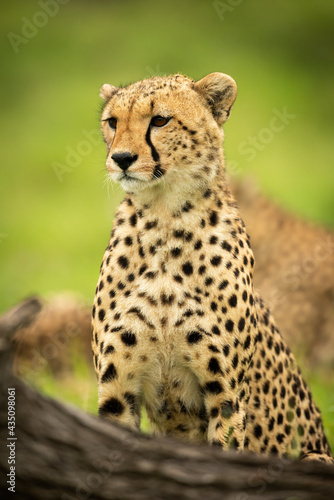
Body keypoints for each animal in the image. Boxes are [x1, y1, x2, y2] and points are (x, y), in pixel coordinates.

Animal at [90, 72, 332, 462]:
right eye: (113, 122)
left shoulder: (226, 396)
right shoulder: (117, 391)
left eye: (160, 120)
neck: (163, 217)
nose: (121, 158)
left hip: (316, 454)